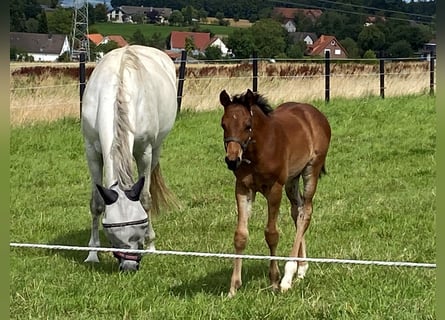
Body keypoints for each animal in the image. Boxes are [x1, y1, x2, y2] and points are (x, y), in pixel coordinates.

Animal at [80, 44, 178, 270]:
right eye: (112, 232)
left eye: (141, 225)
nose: (129, 266)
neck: (118, 91)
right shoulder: (91, 151)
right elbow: (96, 202)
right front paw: (92, 253)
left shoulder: (145, 152)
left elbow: (145, 198)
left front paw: (151, 245)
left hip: (156, 149)